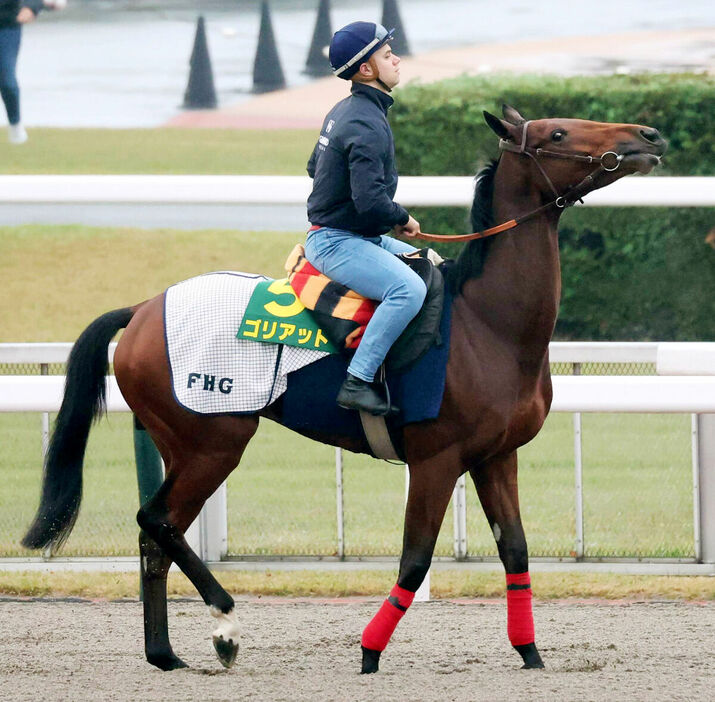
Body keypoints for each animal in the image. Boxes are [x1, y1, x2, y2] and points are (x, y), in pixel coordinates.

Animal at [19, 106, 668, 676]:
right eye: (558, 133)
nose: (649, 135)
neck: (488, 325)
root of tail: (142, 309)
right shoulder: (437, 459)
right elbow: (414, 559)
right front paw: (369, 651)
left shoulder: (496, 456)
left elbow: (516, 551)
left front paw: (530, 652)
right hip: (213, 442)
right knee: (158, 520)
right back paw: (225, 627)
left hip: (182, 444)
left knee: (155, 535)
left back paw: (165, 654)